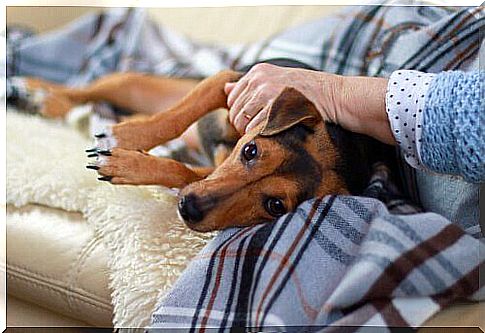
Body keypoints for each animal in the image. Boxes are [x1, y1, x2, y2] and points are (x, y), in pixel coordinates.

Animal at [9, 59, 398, 231]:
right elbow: (177, 116)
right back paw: (34, 91)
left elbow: (182, 171)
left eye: (275, 206)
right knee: (93, 88)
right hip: (137, 85)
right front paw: (126, 138)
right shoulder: (229, 83)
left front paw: (129, 163)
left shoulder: (208, 174)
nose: (189, 208)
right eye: (251, 151)